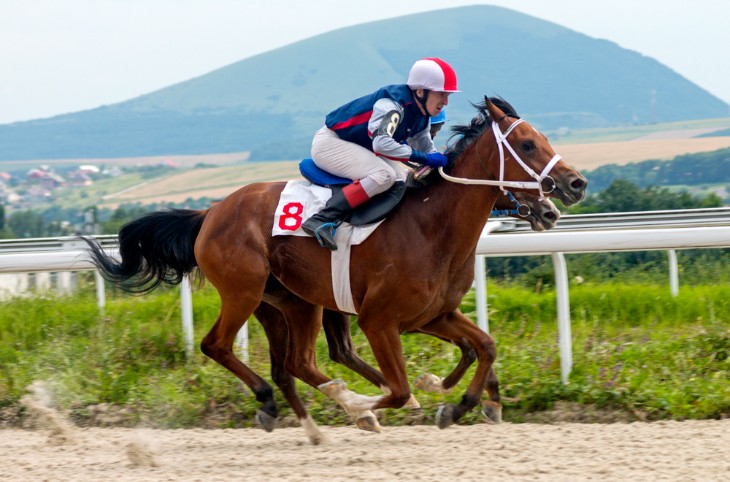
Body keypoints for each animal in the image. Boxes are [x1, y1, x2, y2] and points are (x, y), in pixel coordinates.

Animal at [84, 97, 584, 444]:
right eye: (527, 144)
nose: (574, 185)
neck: (432, 225)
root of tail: (211, 212)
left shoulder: (433, 314)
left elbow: (484, 345)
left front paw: (462, 403)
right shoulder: (380, 320)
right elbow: (400, 386)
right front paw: (380, 401)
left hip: (289, 302)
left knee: (294, 363)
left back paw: (311, 422)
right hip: (244, 292)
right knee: (220, 346)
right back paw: (307, 405)